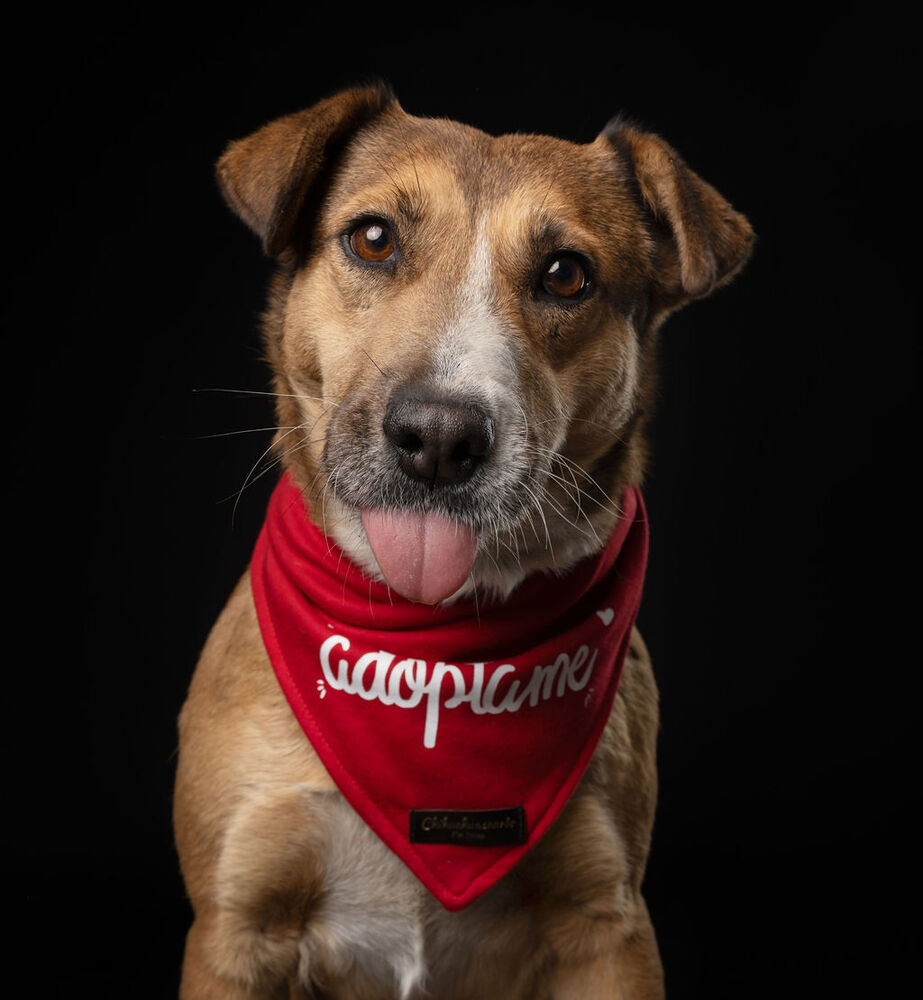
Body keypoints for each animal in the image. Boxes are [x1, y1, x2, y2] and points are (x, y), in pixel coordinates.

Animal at [171, 88, 752, 1000]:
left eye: (565, 274)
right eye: (373, 237)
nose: (439, 438)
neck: (435, 649)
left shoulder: (606, 927)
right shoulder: (238, 927)